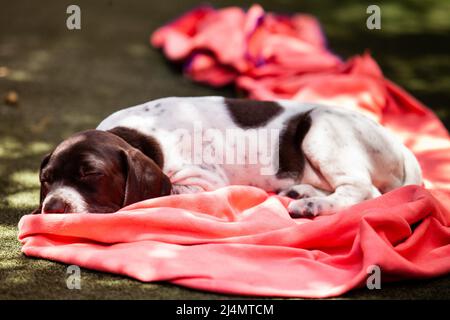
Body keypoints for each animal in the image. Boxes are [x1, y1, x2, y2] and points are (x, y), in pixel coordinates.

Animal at [33, 96, 424, 218]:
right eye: (45, 181)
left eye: (91, 174)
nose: (52, 207)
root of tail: (400, 144)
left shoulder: (202, 179)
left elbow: (172, 189)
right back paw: (301, 192)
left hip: (321, 126)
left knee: (364, 191)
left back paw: (312, 205)